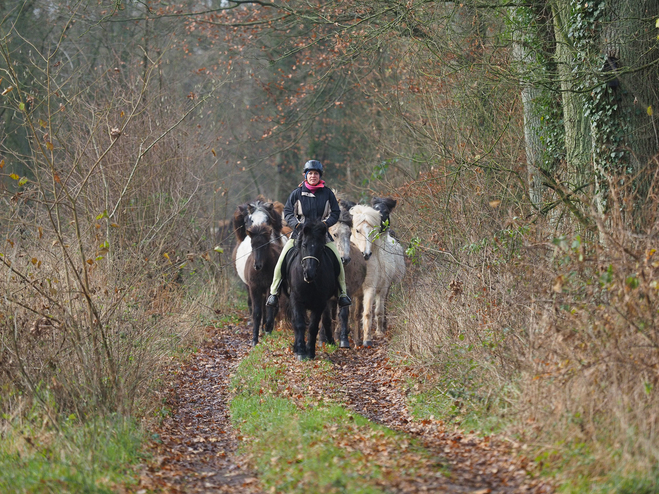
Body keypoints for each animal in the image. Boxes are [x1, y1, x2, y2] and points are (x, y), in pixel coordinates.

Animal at [268, 220, 350, 358]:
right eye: (304, 245)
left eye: (321, 247)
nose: (309, 273)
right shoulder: (296, 299)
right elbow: (299, 324)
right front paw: (301, 352)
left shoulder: (320, 302)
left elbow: (313, 326)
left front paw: (310, 352)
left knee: (326, 320)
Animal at [348, 204, 404, 344]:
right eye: (357, 230)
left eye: (373, 231)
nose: (366, 254)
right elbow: (351, 313)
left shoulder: (370, 288)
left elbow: (368, 312)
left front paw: (368, 339)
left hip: (384, 287)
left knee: (381, 308)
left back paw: (381, 329)